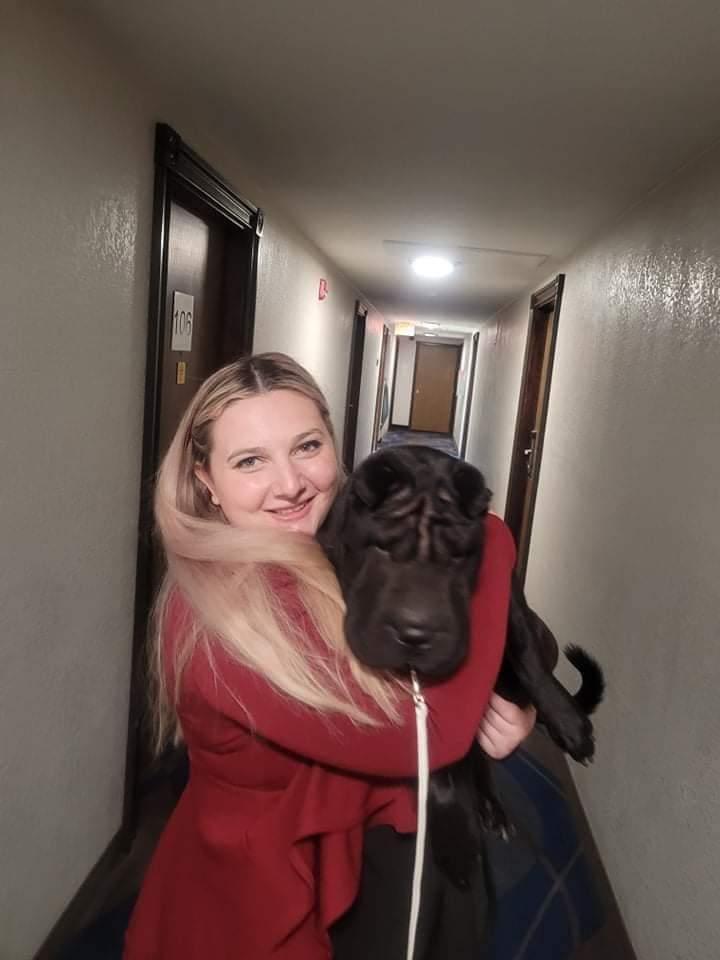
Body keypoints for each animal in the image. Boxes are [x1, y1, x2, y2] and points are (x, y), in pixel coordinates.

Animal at [318, 445, 604, 889]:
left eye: (457, 556)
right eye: (381, 548)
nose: (415, 632)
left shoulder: (508, 591)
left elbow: (527, 648)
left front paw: (570, 723)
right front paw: (454, 830)